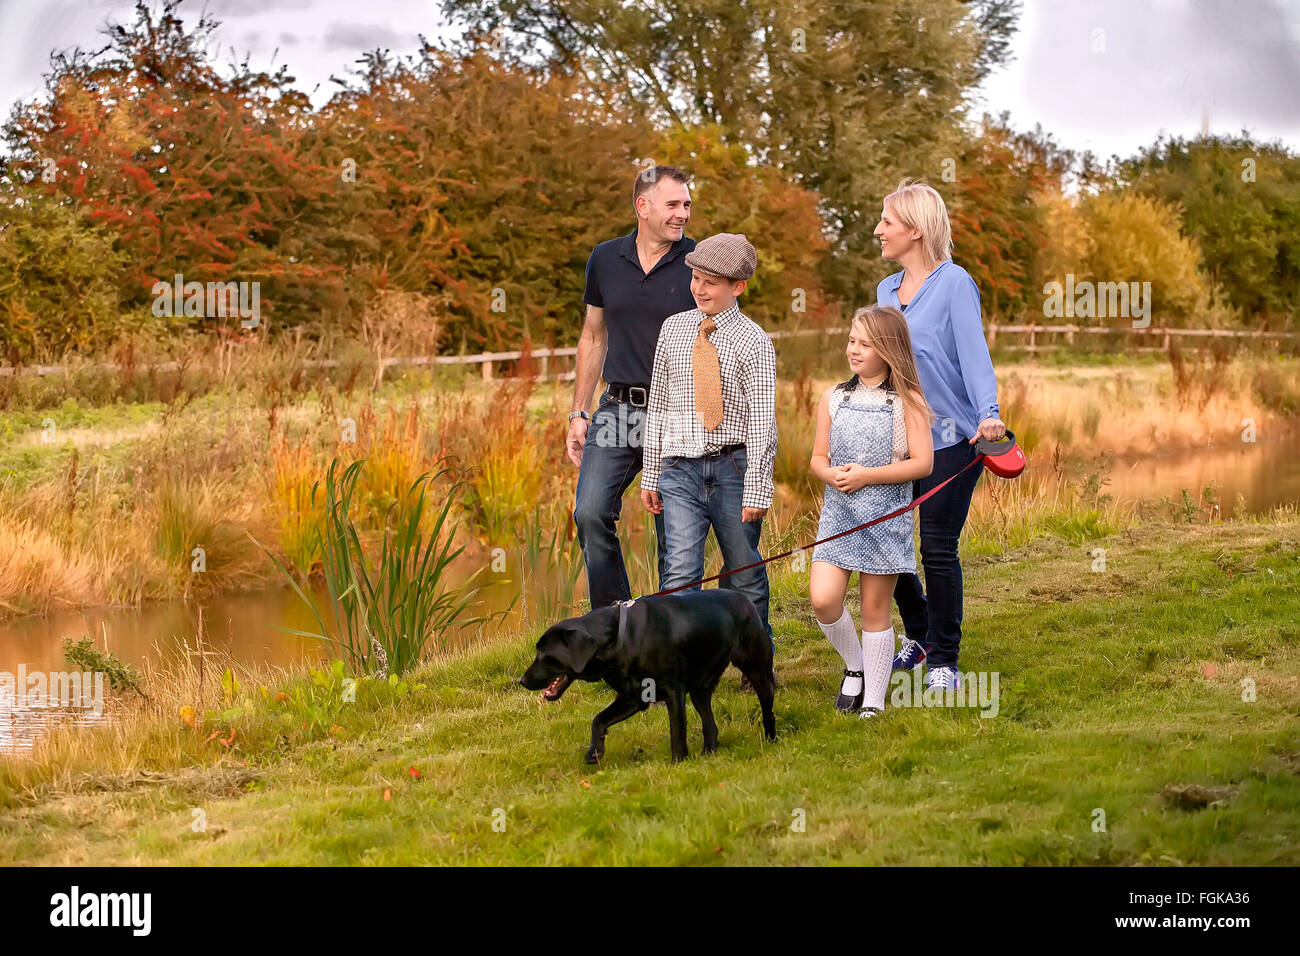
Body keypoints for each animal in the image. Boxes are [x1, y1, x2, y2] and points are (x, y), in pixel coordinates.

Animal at [517, 590, 774, 764]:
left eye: (545, 655)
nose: (522, 681)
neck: (618, 640)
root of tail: (744, 599)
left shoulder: (673, 691)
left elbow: (677, 732)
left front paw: (678, 763)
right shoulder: (633, 697)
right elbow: (598, 720)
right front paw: (594, 751)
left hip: (757, 670)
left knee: (767, 708)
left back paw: (771, 740)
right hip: (700, 689)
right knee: (710, 725)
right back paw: (708, 754)